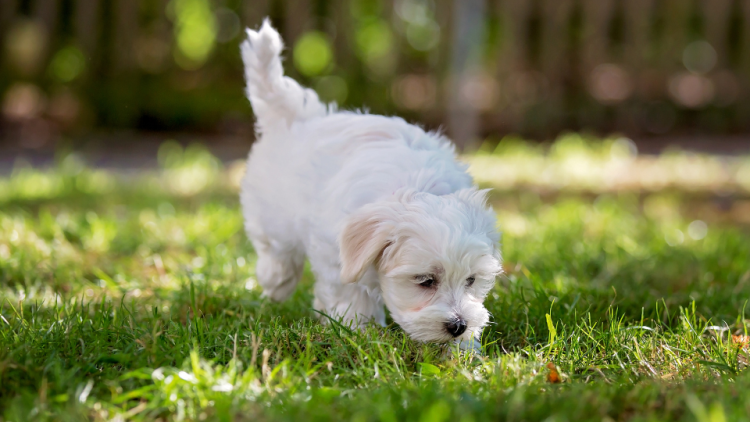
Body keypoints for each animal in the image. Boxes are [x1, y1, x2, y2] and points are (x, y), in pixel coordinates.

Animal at [238, 19, 502, 348]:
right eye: (425, 281)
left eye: (471, 280)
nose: (458, 325)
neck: (418, 187)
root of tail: (298, 118)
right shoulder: (336, 255)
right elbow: (351, 292)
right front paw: (359, 331)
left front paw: (463, 351)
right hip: (274, 213)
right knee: (276, 252)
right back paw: (274, 281)